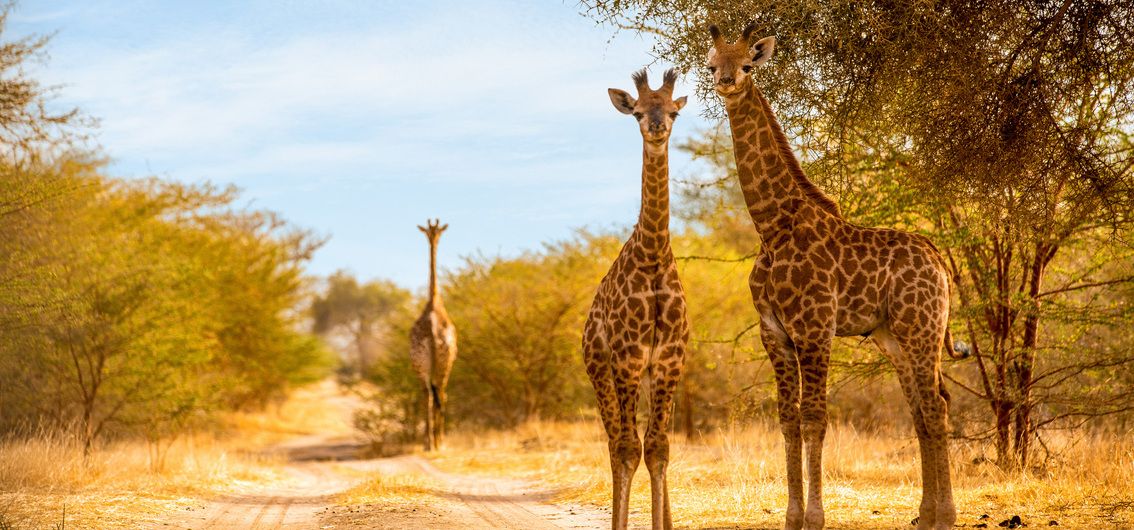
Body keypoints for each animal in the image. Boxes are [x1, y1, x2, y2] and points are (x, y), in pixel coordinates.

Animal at [707, 23, 966, 530]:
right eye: (711, 65)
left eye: (746, 63)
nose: (727, 83)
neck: (773, 227)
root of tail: (939, 261)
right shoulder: (774, 332)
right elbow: (787, 419)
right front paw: (791, 516)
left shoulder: (814, 328)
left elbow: (814, 418)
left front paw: (814, 516)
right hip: (892, 337)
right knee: (922, 409)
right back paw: (925, 514)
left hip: (921, 328)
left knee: (936, 406)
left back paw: (945, 515)